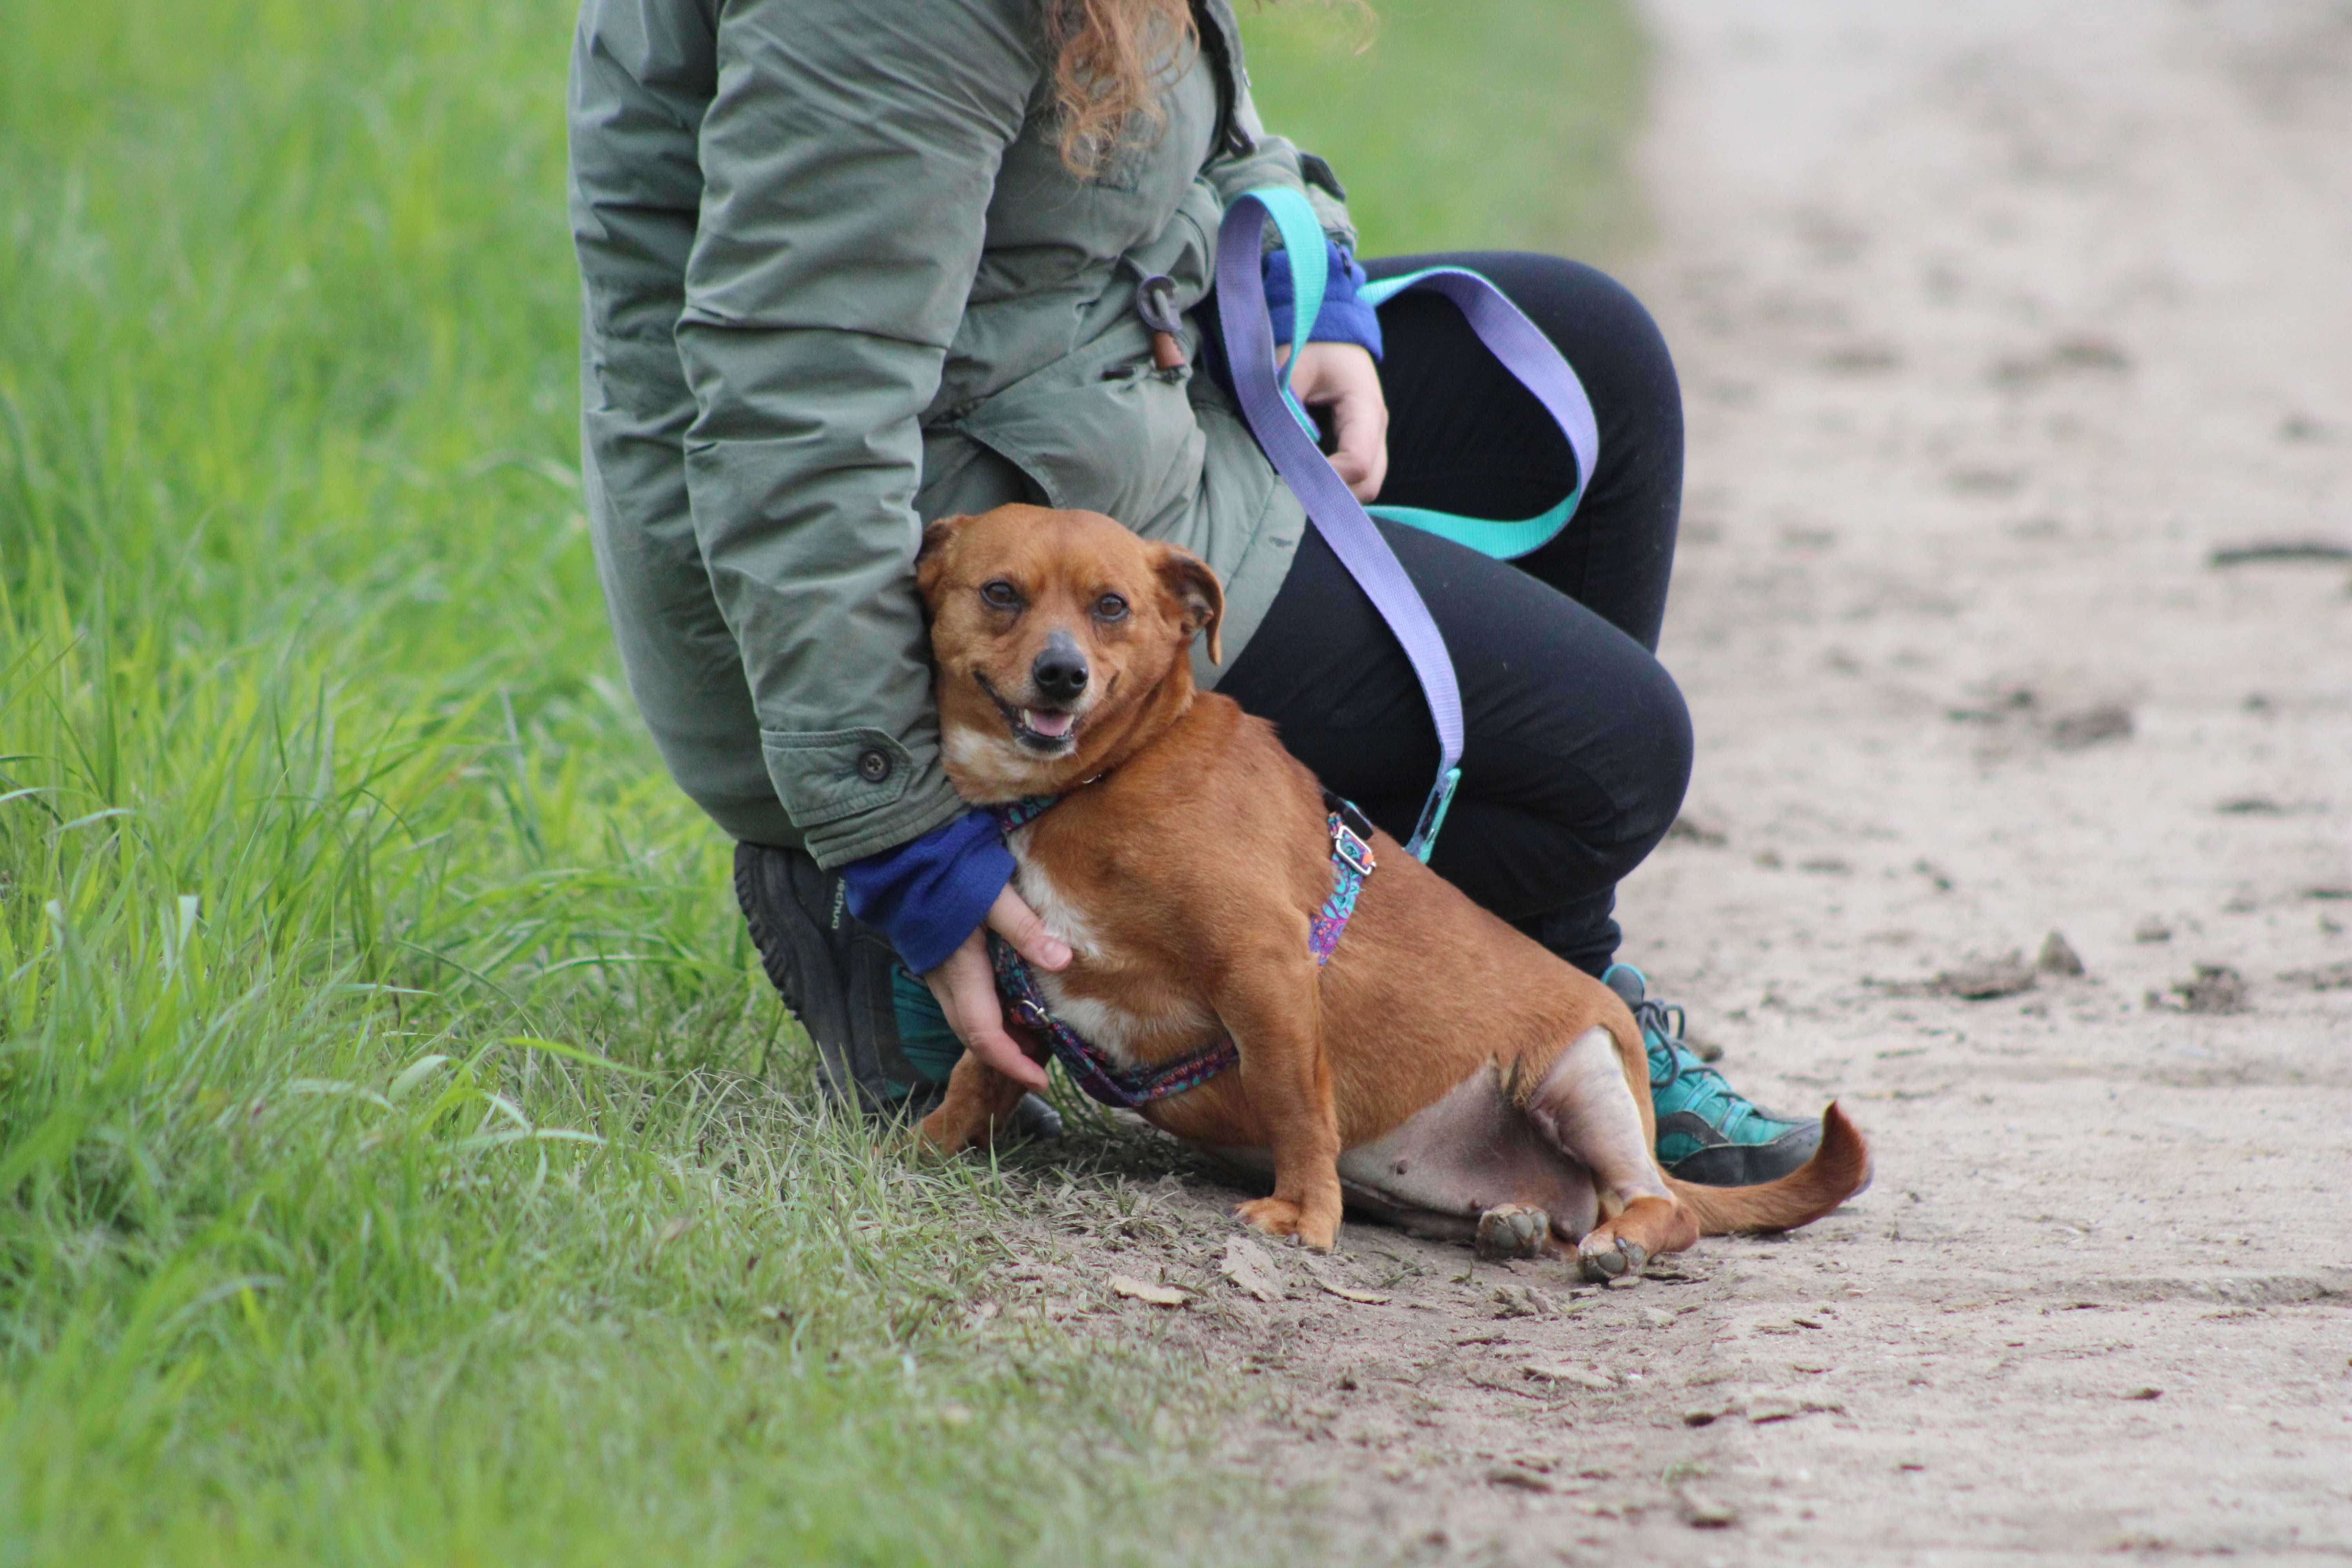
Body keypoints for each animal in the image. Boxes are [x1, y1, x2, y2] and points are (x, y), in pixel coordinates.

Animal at [908, 503, 1863, 1279]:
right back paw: (1513, 1223)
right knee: (1562, 1214)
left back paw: (1621, 1239)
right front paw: (927, 1142)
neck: (1093, 780)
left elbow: (1295, 1106)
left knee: (1661, 1208)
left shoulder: (1266, 971)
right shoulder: (1024, 993)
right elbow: (977, 1073)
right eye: (1001, 593)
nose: (1061, 674)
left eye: (1111, 607)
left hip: (1582, 1068)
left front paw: (1303, 1214)